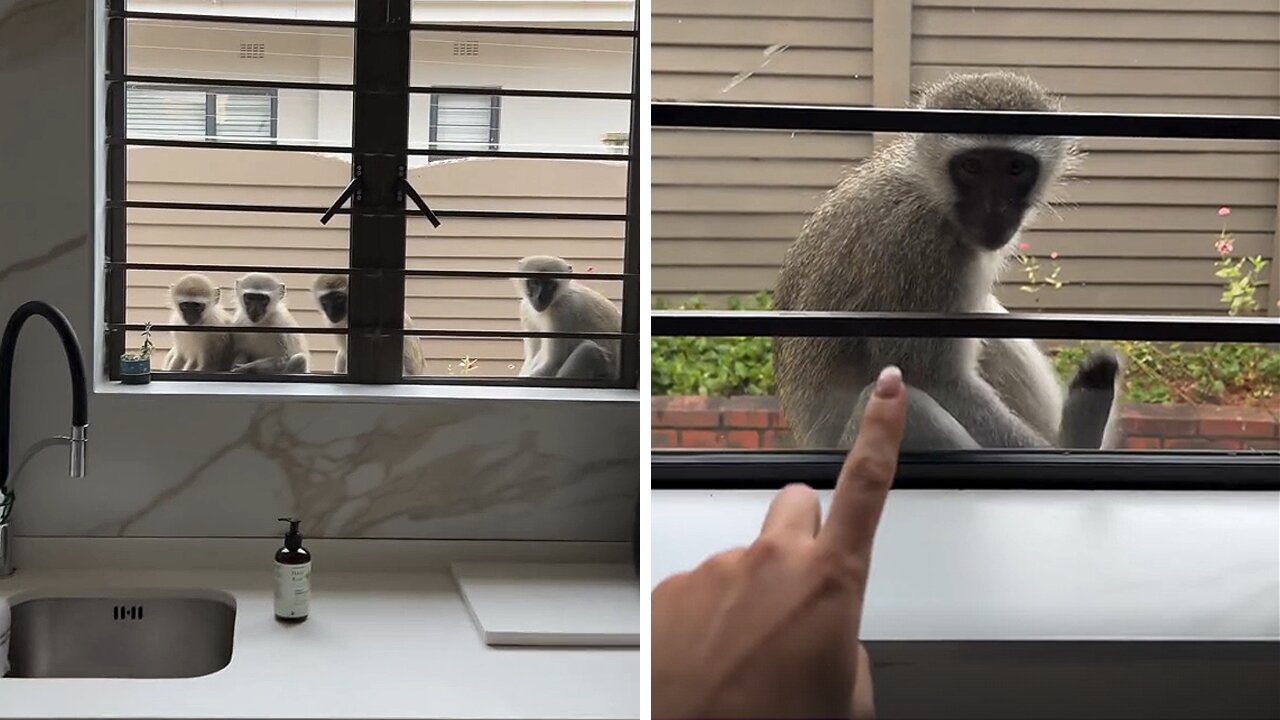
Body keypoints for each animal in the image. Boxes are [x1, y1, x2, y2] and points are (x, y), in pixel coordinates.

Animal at [768, 68, 1121, 448]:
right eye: (971, 167)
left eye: (1014, 168)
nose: (994, 210)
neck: (930, 192)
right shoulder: (917, 251)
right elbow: (936, 381)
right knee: (912, 407)